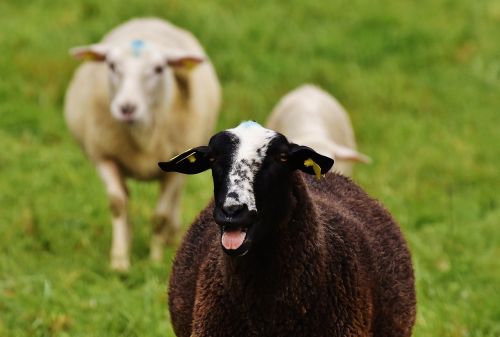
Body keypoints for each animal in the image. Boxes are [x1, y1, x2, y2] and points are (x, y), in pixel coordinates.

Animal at [63, 17, 220, 270]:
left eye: (159, 69)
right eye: (111, 65)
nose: (127, 108)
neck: (141, 135)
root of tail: (147, 20)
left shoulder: (175, 170)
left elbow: (160, 216)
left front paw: (155, 259)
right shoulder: (103, 157)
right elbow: (118, 204)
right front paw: (119, 261)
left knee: (175, 201)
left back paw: (172, 236)